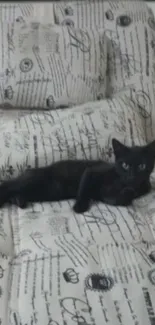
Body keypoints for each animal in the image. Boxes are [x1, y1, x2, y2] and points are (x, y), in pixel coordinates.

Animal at [0, 137, 154, 213]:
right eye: (125, 165)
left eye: (142, 166)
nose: (132, 176)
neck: (120, 182)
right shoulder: (91, 171)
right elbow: (84, 189)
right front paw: (79, 207)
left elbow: (116, 198)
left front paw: (128, 192)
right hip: (34, 181)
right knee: (7, 185)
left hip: (43, 192)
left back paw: (18, 200)